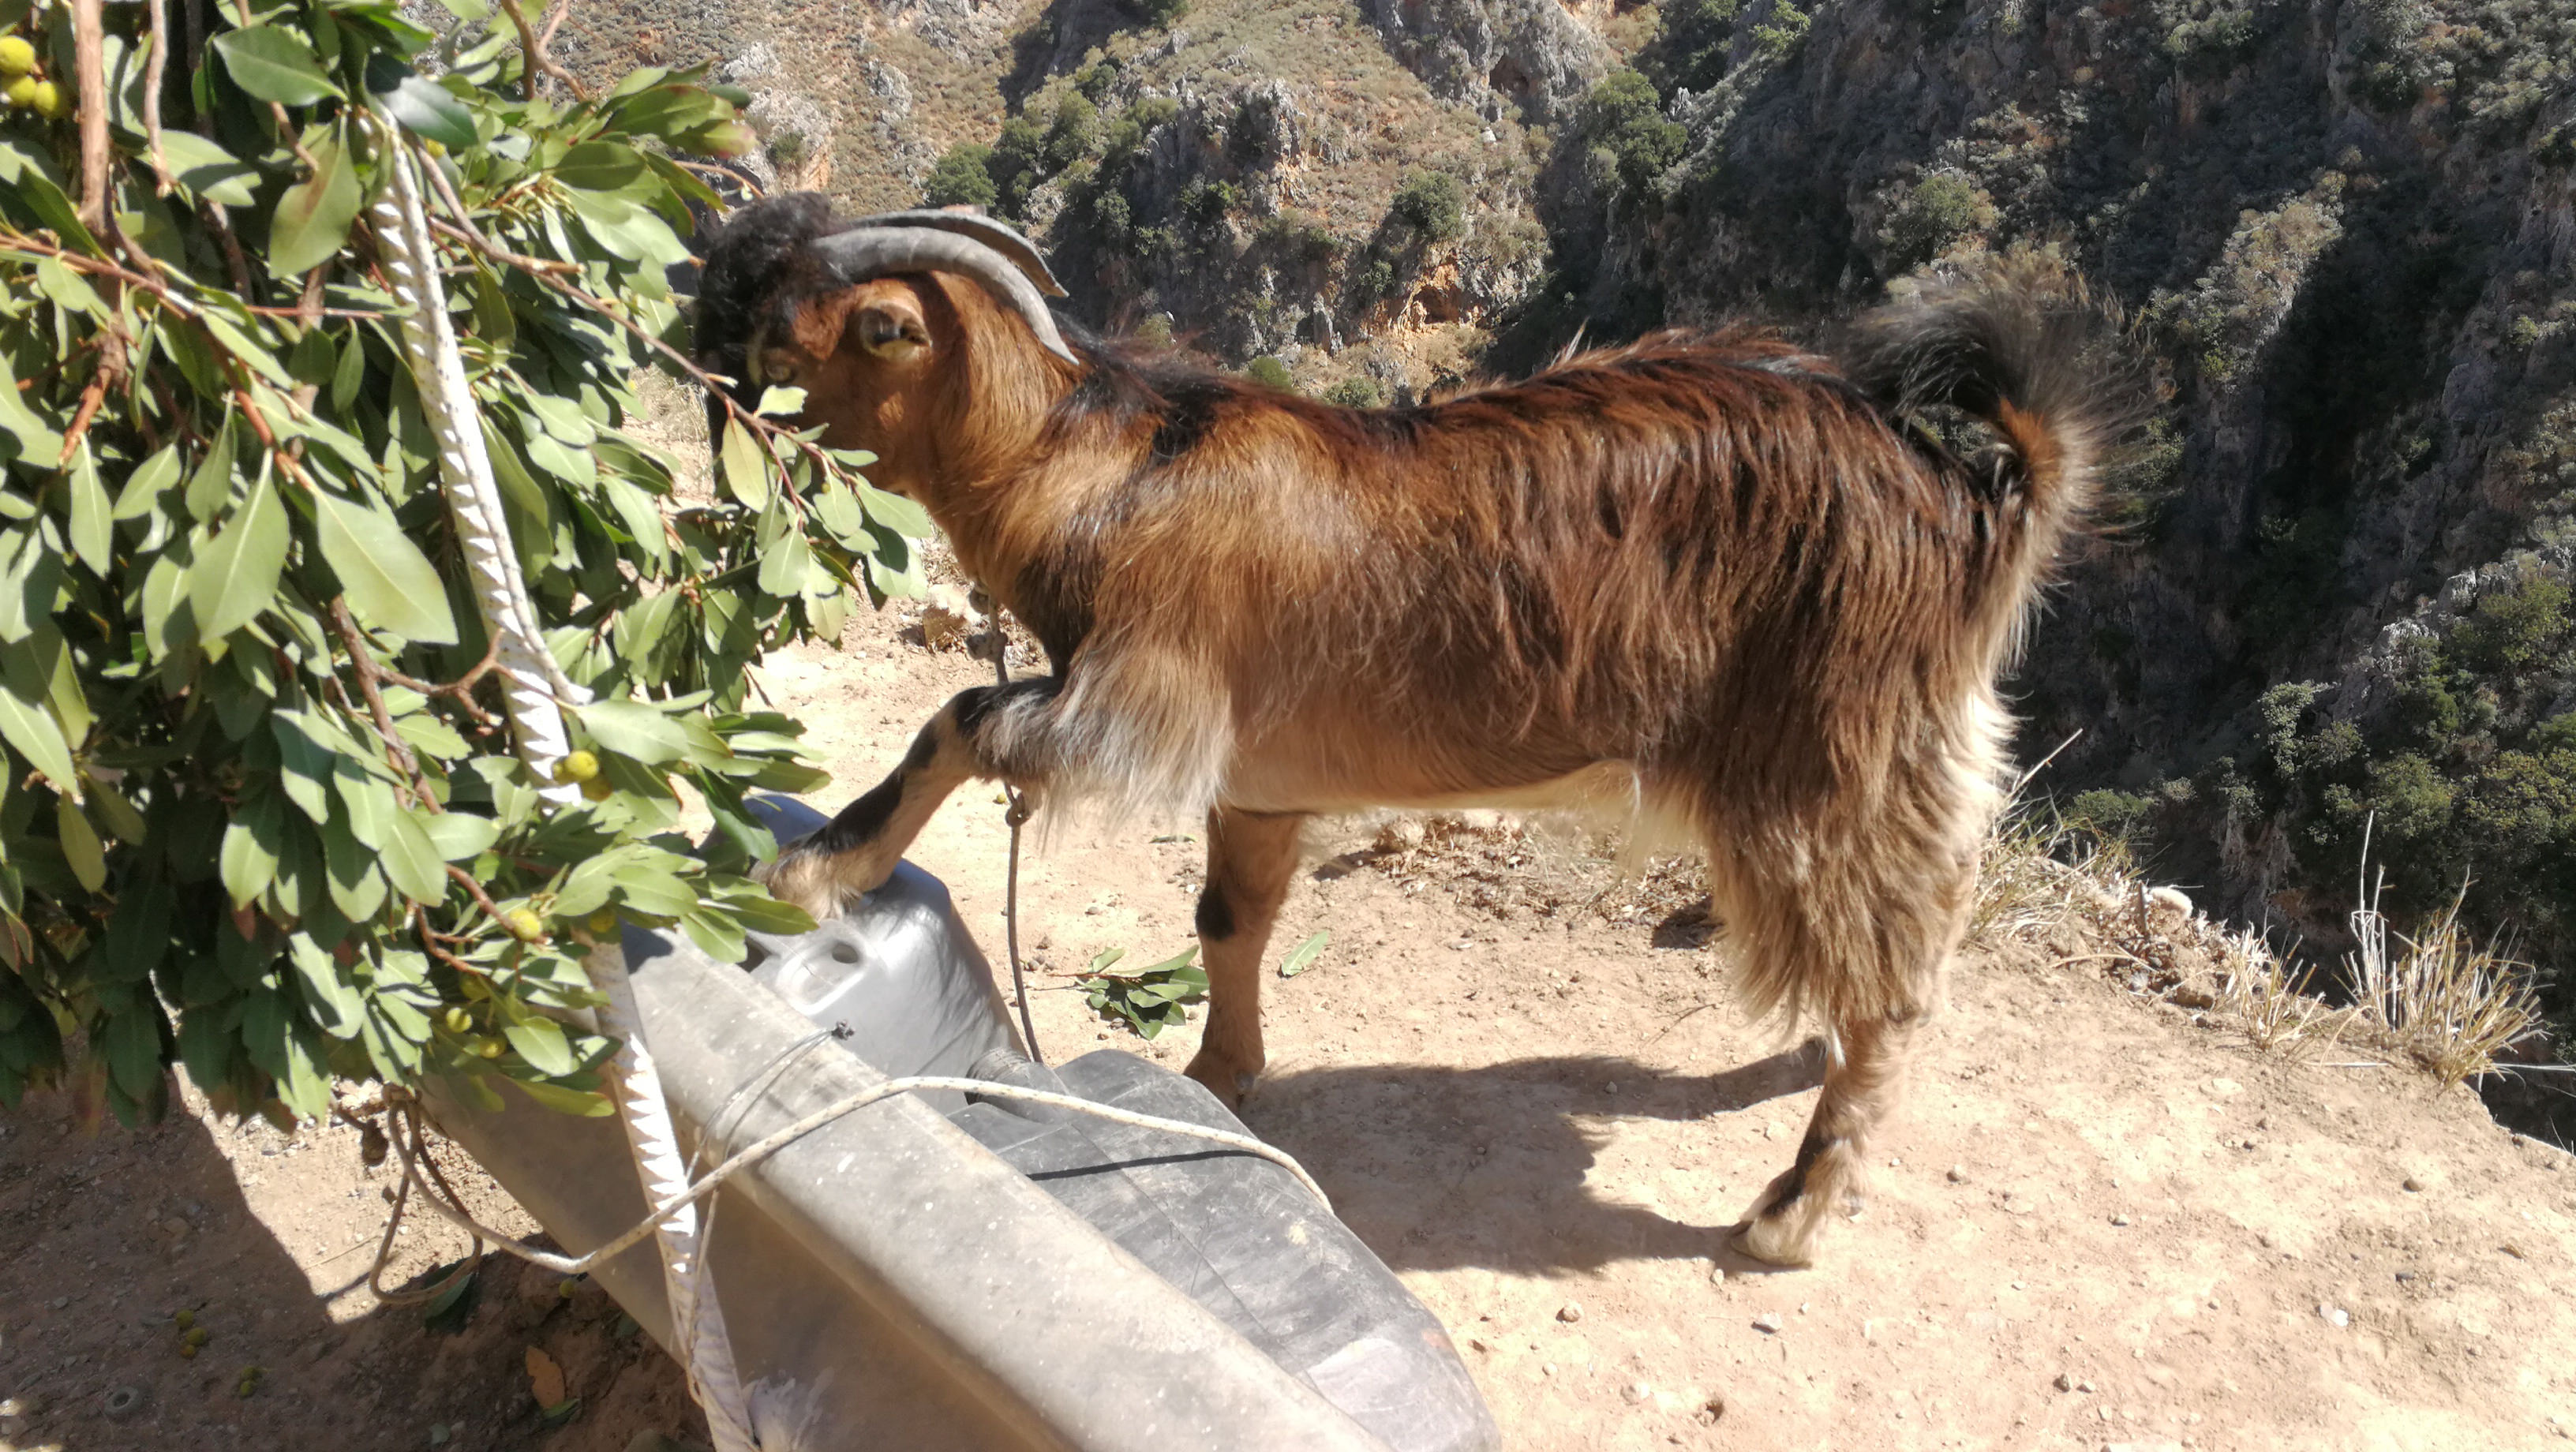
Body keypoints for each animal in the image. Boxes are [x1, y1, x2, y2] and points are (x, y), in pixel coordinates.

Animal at [694, 193, 2123, 1267]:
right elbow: (1228, 921)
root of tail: (1971, 487)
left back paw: (1793, 1210)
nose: (711, 369)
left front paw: (817, 869)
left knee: (1899, 976)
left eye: (799, 344)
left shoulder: (1140, 699)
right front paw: (1219, 1075)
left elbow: (962, 717)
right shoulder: (1258, 780)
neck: (1110, 465)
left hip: (1829, 749)